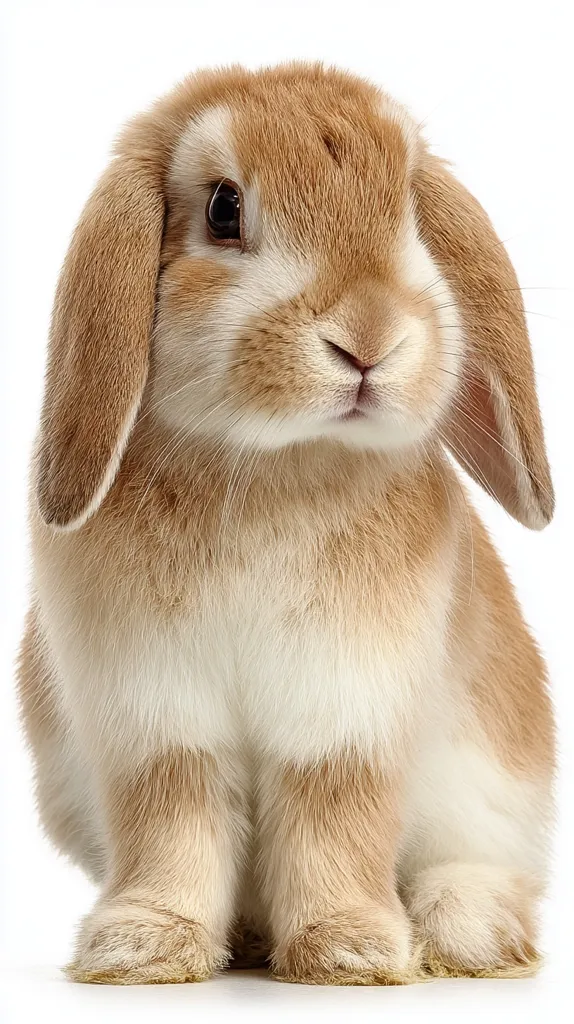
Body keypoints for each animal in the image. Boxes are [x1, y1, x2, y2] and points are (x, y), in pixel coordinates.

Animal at [17, 62, 555, 986]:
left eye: (408, 206)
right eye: (223, 209)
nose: (369, 337)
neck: (272, 466)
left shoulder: (346, 711)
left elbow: (335, 812)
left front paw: (351, 951)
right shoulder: (158, 721)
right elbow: (171, 819)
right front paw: (142, 947)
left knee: (485, 868)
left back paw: (465, 933)